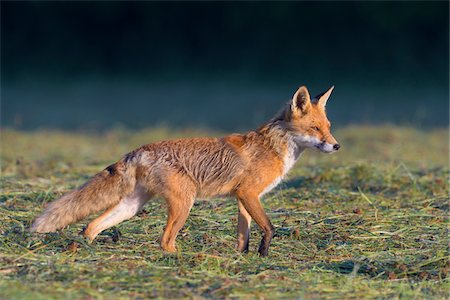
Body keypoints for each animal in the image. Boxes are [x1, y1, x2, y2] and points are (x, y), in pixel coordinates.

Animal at [31, 85, 340, 256]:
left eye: (328, 127)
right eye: (315, 129)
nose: (336, 146)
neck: (275, 147)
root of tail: (139, 149)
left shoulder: (245, 199)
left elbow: (244, 235)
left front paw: (243, 258)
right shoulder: (249, 193)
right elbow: (269, 227)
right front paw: (264, 253)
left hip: (131, 206)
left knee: (91, 226)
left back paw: (85, 250)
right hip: (184, 202)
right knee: (164, 240)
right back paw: (180, 260)